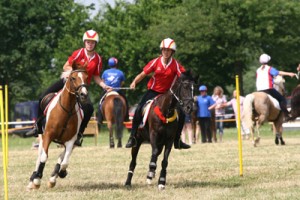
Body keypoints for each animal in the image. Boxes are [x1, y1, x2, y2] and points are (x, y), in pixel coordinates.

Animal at [26, 61, 88, 190]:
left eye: (86, 77)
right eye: (73, 78)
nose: (83, 95)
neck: (67, 110)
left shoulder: (70, 141)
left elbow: (64, 162)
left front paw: (60, 173)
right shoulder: (48, 136)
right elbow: (44, 157)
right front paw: (37, 180)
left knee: (62, 157)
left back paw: (54, 177)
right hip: (41, 137)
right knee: (39, 156)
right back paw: (33, 179)